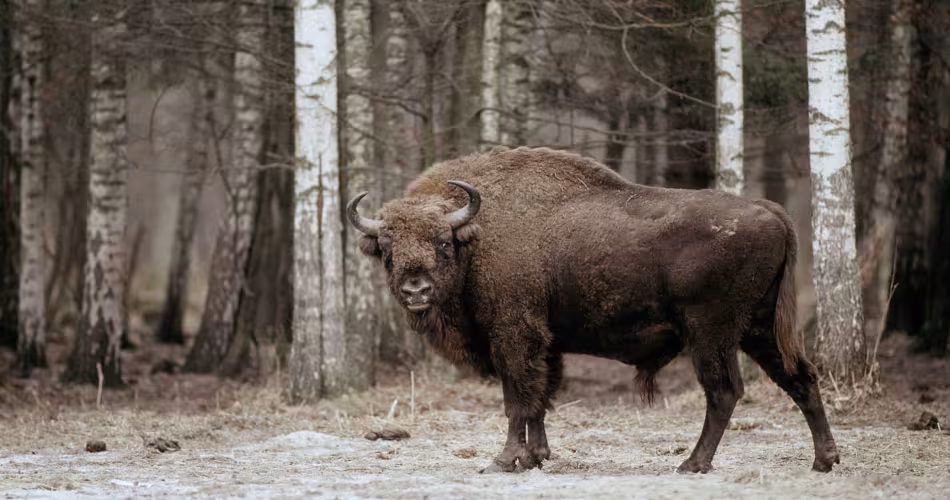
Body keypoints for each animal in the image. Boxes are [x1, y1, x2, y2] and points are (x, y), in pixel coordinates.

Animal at [347, 147, 839, 474]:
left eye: (442, 243)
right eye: (386, 248)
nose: (416, 288)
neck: (478, 234)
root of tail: (770, 211)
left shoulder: (514, 337)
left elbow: (517, 400)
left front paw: (503, 461)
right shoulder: (546, 346)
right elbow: (540, 400)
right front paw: (536, 457)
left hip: (711, 333)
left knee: (724, 392)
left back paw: (692, 464)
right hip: (759, 328)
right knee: (801, 378)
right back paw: (825, 460)